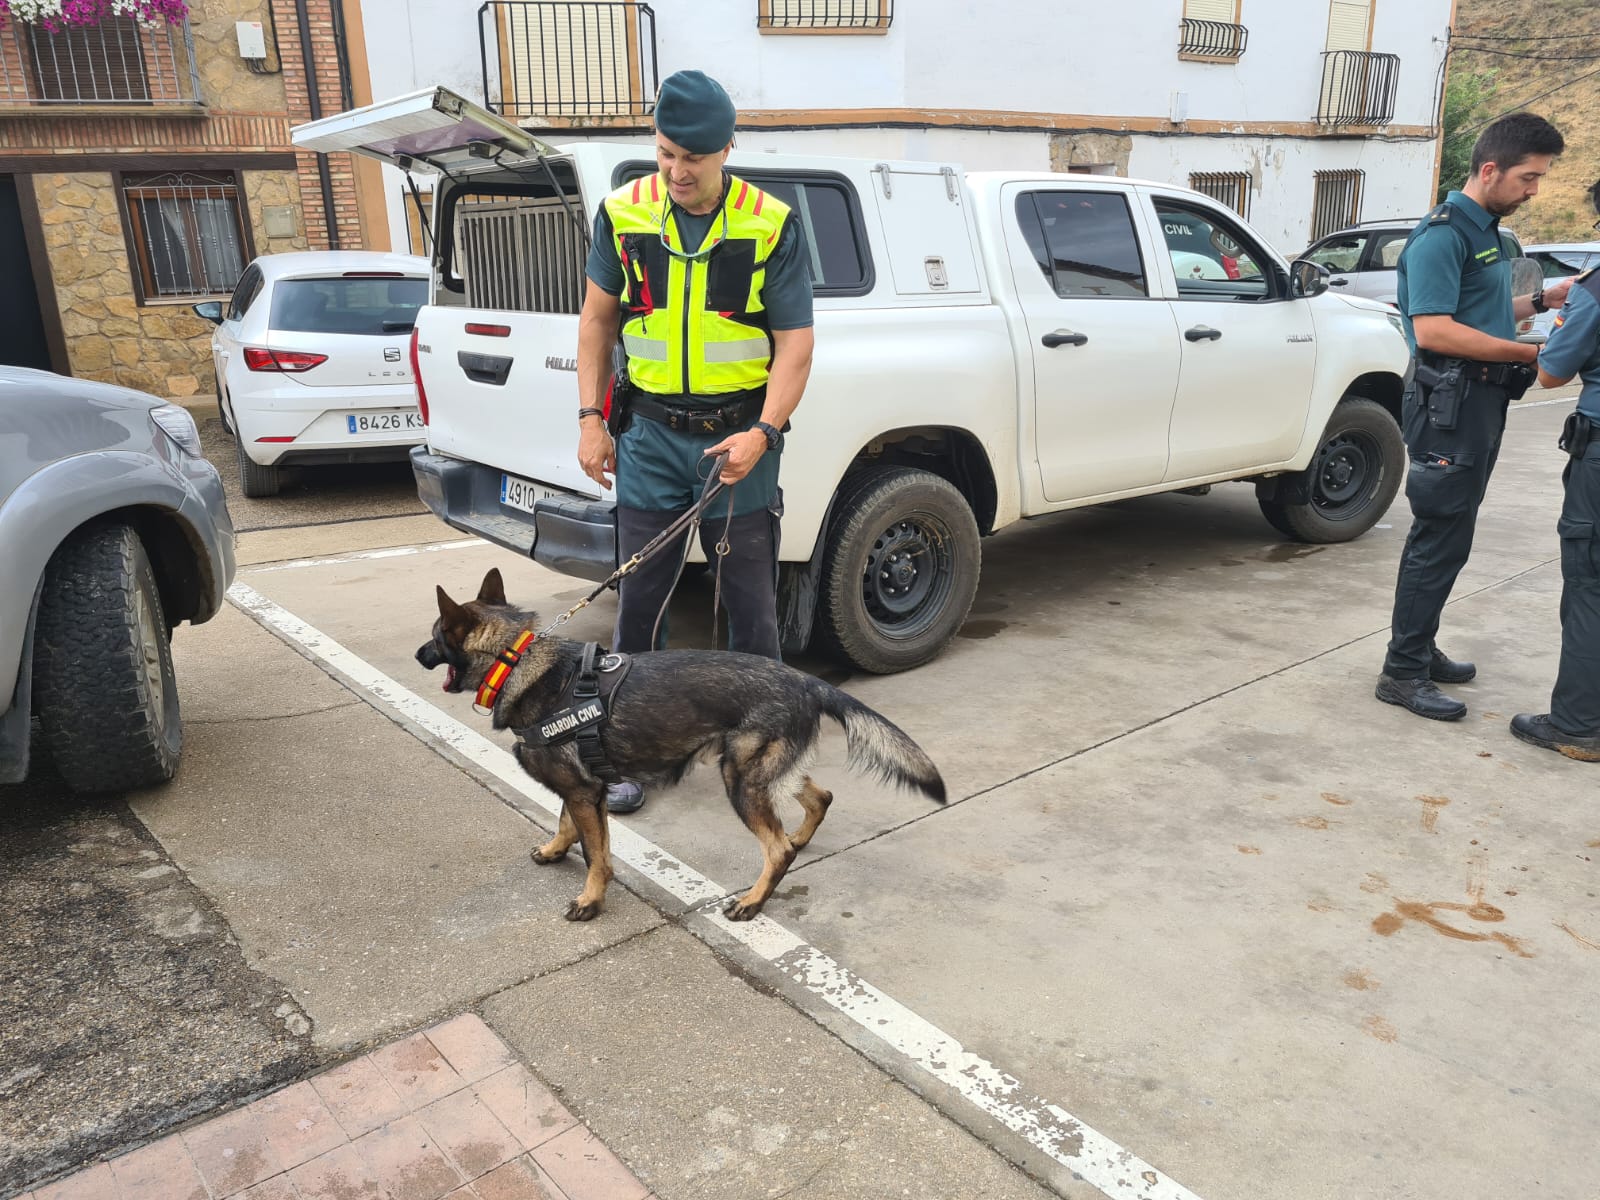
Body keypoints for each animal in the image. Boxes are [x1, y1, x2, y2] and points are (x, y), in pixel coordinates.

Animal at [416, 569, 947, 921]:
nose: (419, 655)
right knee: (819, 797)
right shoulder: (582, 791)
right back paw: (799, 837)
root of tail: (805, 680)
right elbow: (566, 826)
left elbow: (597, 855)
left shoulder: (584, 794)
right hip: (760, 770)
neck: (517, 660)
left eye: (434, 637)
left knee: (777, 851)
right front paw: (554, 851)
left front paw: (591, 899)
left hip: (741, 780)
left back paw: (753, 900)